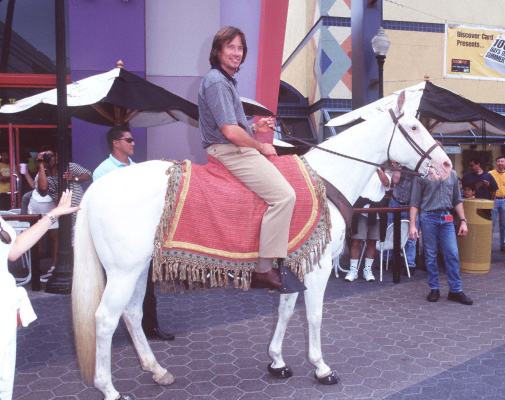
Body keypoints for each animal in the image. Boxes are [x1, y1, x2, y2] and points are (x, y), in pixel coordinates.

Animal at [70, 92, 448, 398]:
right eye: (413, 127)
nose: (445, 164)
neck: (326, 181)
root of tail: (96, 190)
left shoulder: (295, 266)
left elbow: (285, 310)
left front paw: (277, 361)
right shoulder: (319, 267)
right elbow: (314, 316)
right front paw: (321, 367)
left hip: (137, 268)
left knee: (132, 315)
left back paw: (157, 370)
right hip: (123, 271)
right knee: (105, 319)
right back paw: (109, 388)